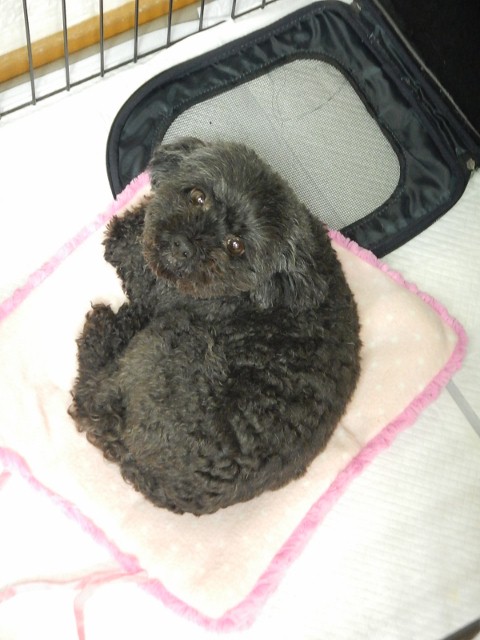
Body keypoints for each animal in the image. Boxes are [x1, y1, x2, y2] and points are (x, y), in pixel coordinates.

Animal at [69, 137, 361, 515]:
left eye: (236, 246)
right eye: (197, 196)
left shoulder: (169, 292)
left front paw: (125, 232)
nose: (183, 245)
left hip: (172, 335)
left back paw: (106, 330)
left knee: (91, 398)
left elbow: (132, 257)